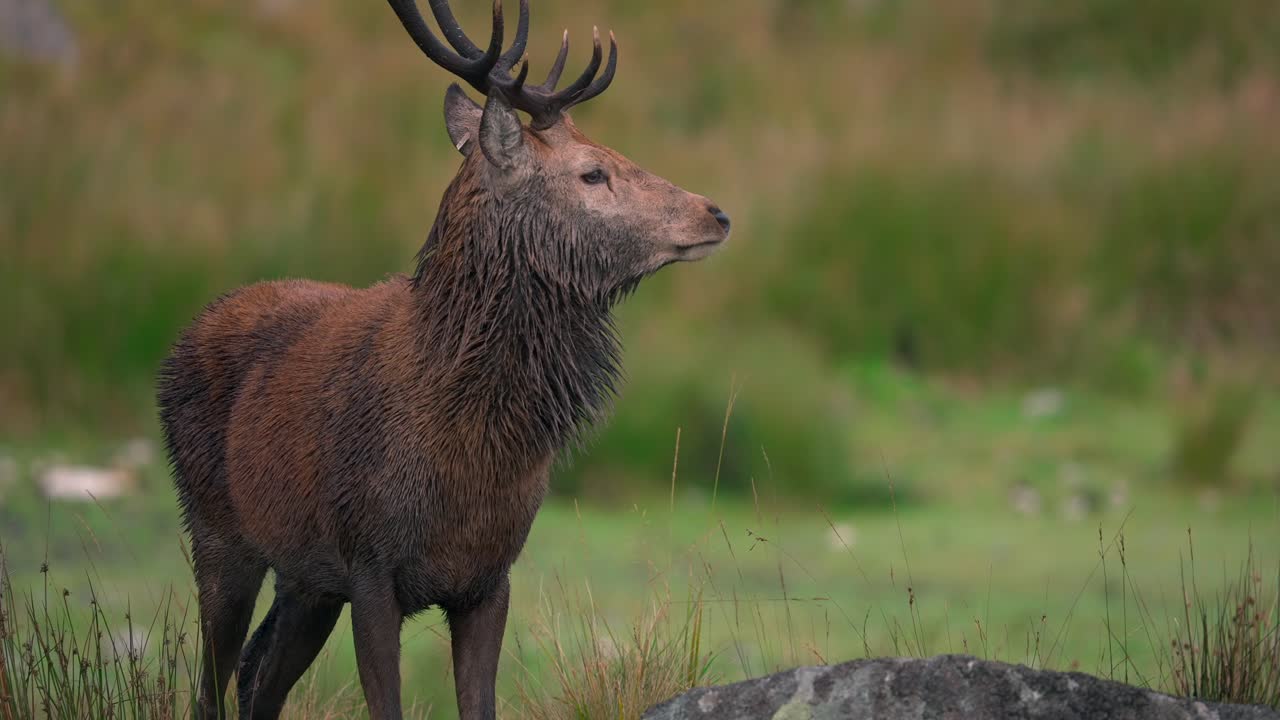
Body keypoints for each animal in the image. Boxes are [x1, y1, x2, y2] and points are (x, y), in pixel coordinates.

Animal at [155, 1, 729, 718]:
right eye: (593, 172)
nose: (716, 213)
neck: (472, 448)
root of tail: (184, 334)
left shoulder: (488, 576)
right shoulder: (370, 564)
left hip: (306, 581)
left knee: (259, 681)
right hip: (215, 527)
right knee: (211, 682)